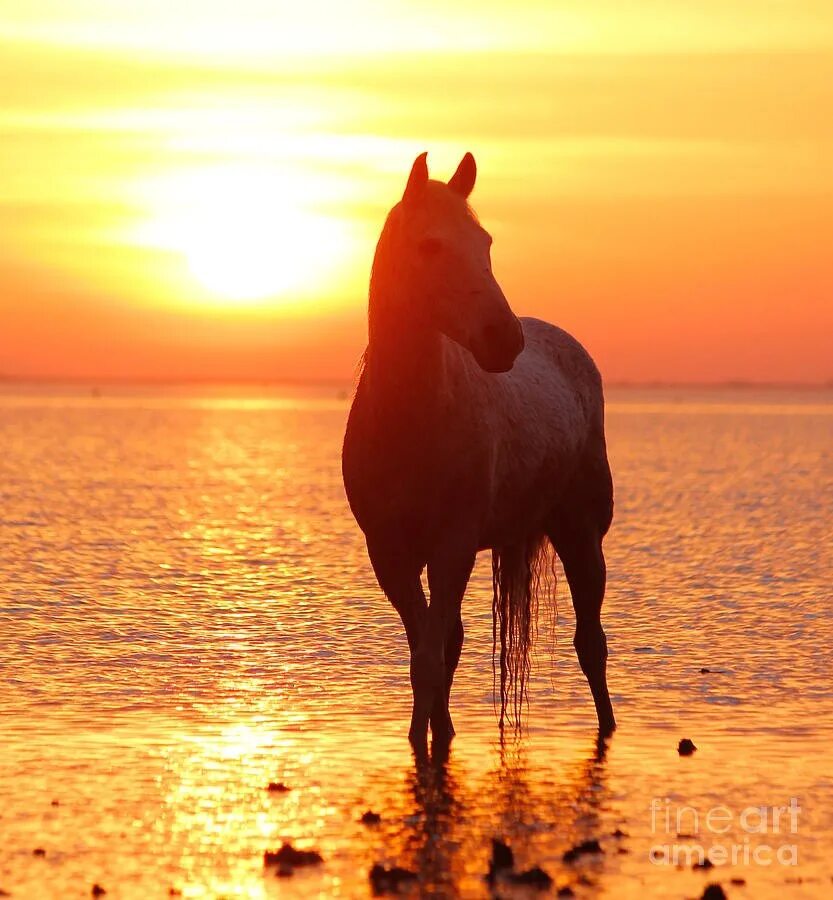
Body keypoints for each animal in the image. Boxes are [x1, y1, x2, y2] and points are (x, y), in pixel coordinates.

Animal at [342, 153, 616, 744]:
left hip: (582, 534)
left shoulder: (453, 547)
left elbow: (431, 653)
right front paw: (431, 734)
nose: (504, 339)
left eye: (485, 242)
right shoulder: (390, 555)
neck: (411, 422)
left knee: (592, 644)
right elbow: (429, 649)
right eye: (430, 245)